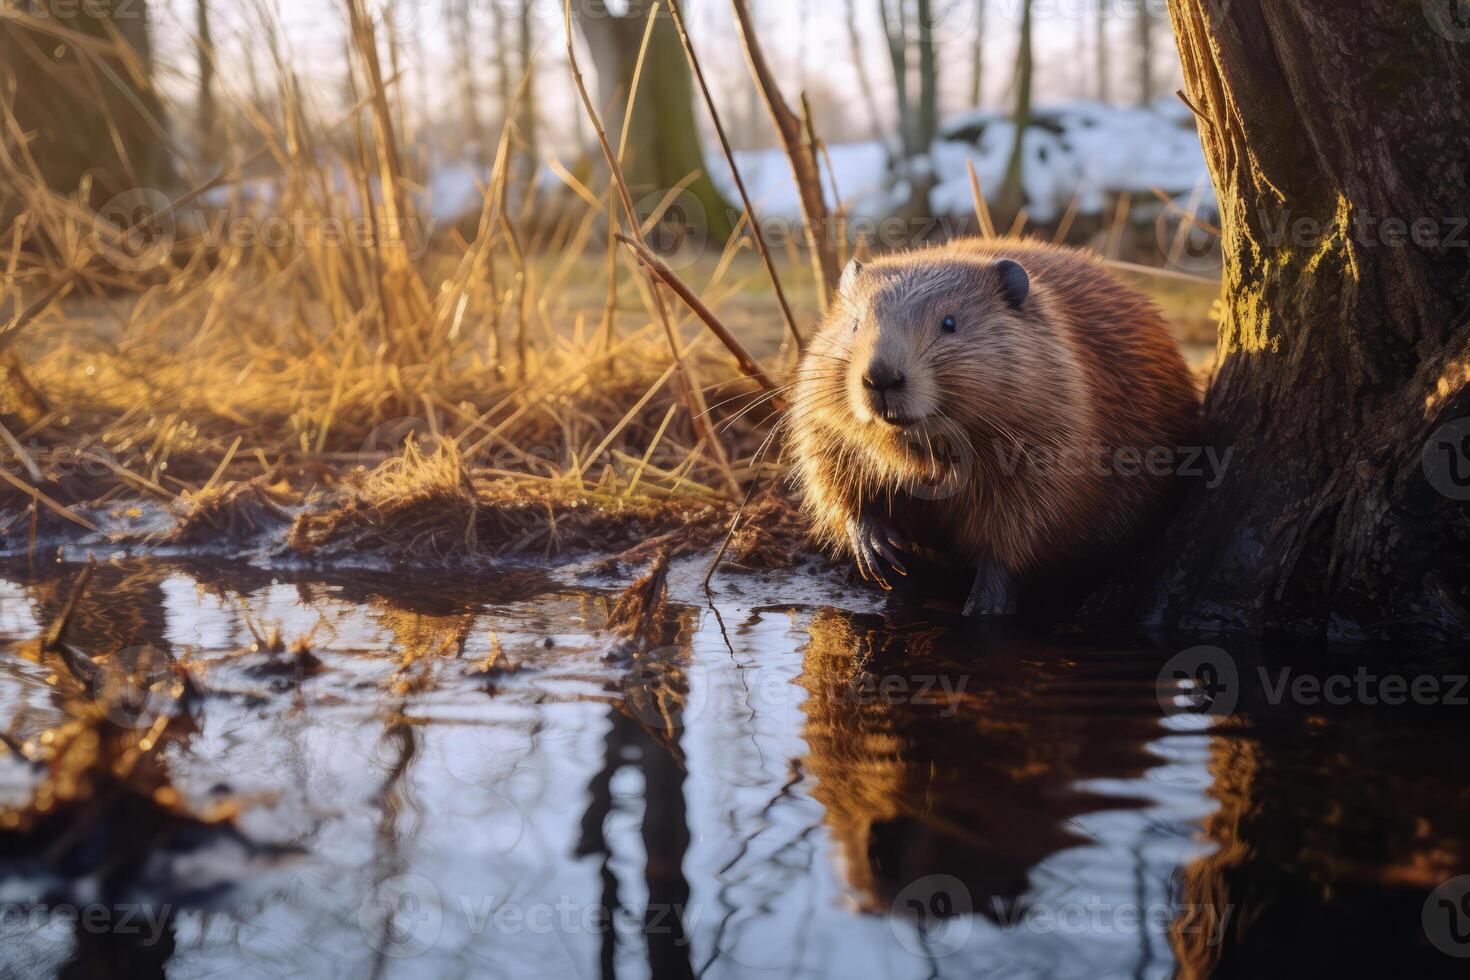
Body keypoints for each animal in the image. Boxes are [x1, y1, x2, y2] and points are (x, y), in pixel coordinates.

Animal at [787, 236, 1199, 617]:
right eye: (855, 323)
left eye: (949, 323)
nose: (881, 377)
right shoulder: (821, 417)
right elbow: (831, 472)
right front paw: (874, 547)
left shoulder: (1056, 427)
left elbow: (1026, 525)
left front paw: (985, 604)